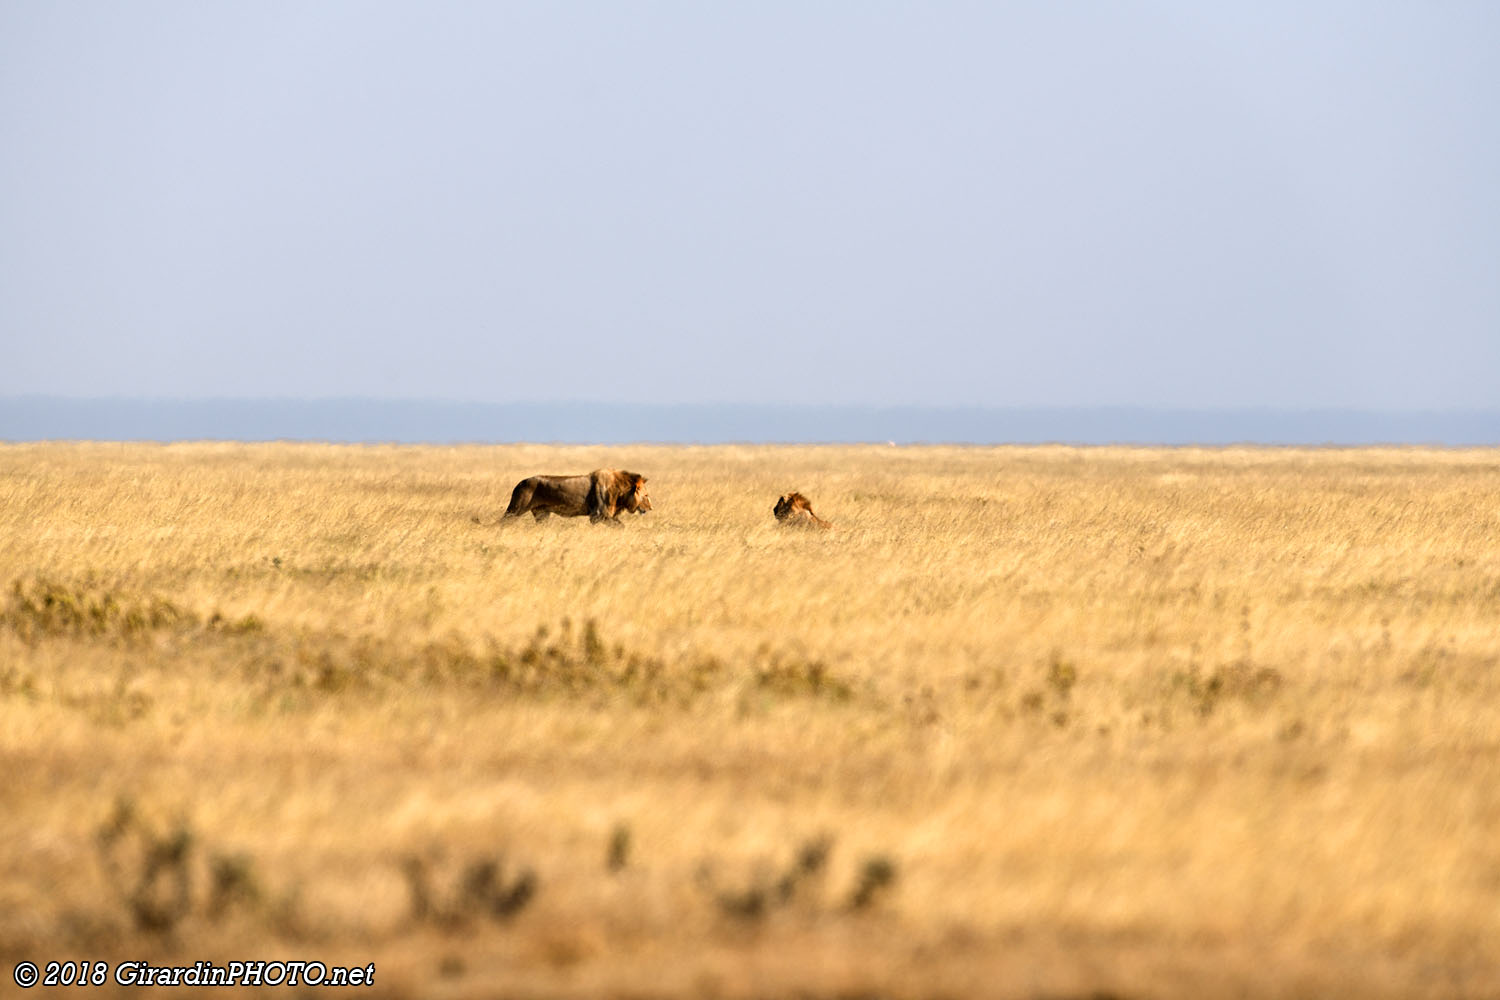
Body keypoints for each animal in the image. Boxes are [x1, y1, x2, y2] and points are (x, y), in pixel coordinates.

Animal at [504, 469, 651, 524]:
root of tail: (520, 483)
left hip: (542, 514)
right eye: (646, 495)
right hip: (516, 509)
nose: (651, 508)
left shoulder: (606, 516)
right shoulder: (598, 515)